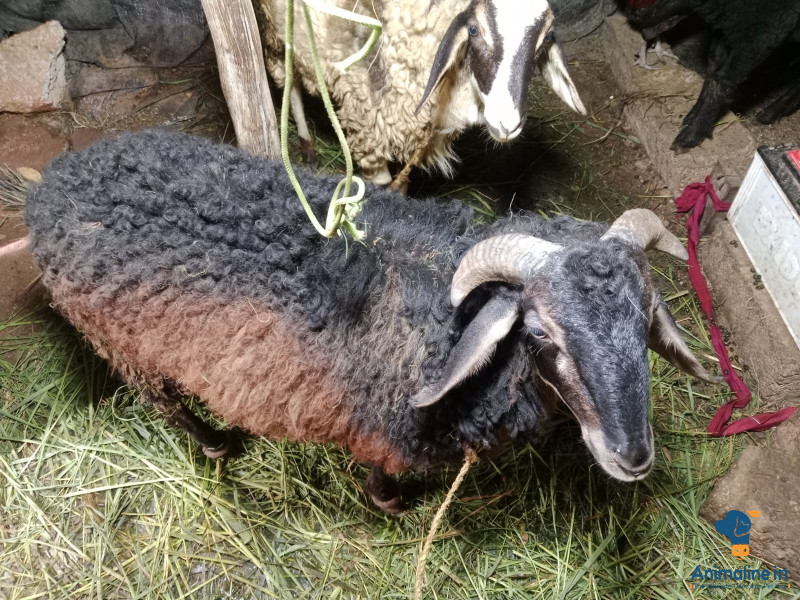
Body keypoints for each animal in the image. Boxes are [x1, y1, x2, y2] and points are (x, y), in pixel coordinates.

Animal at [24, 130, 716, 512]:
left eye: (644, 323)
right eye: (541, 333)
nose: (633, 457)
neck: (446, 320)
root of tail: (51, 184)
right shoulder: (386, 427)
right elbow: (380, 478)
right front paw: (393, 507)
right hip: (121, 340)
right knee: (160, 400)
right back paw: (214, 442)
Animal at [259, 0, 587, 185]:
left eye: (545, 40)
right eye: (474, 30)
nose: (508, 123)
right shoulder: (368, 127)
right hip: (277, 31)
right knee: (290, 81)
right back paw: (306, 145)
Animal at [628, 0, 800, 150]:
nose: (644, 32)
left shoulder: (760, 34)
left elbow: (724, 81)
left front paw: (690, 136)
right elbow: (713, 70)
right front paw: (691, 118)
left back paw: (770, 112)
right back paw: (771, 113)